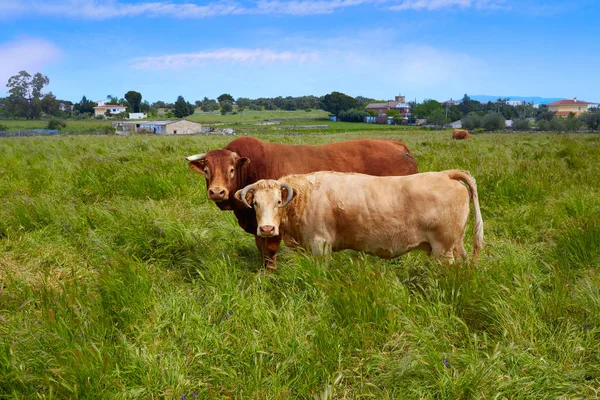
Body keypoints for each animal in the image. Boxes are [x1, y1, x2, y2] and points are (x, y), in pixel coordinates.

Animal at [186, 136, 418, 270]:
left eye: (231, 169)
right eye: (206, 170)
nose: (217, 191)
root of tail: (396, 144)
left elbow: (270, 250)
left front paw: (270, 274)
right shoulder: (259, 225)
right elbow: (261, 248)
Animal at [234, 170, 482, 264]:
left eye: (278, 201)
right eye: (255, 203)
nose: (266, 229)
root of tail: (445, 174)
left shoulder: (320, 244)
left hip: (443, 249)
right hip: (455, 245)